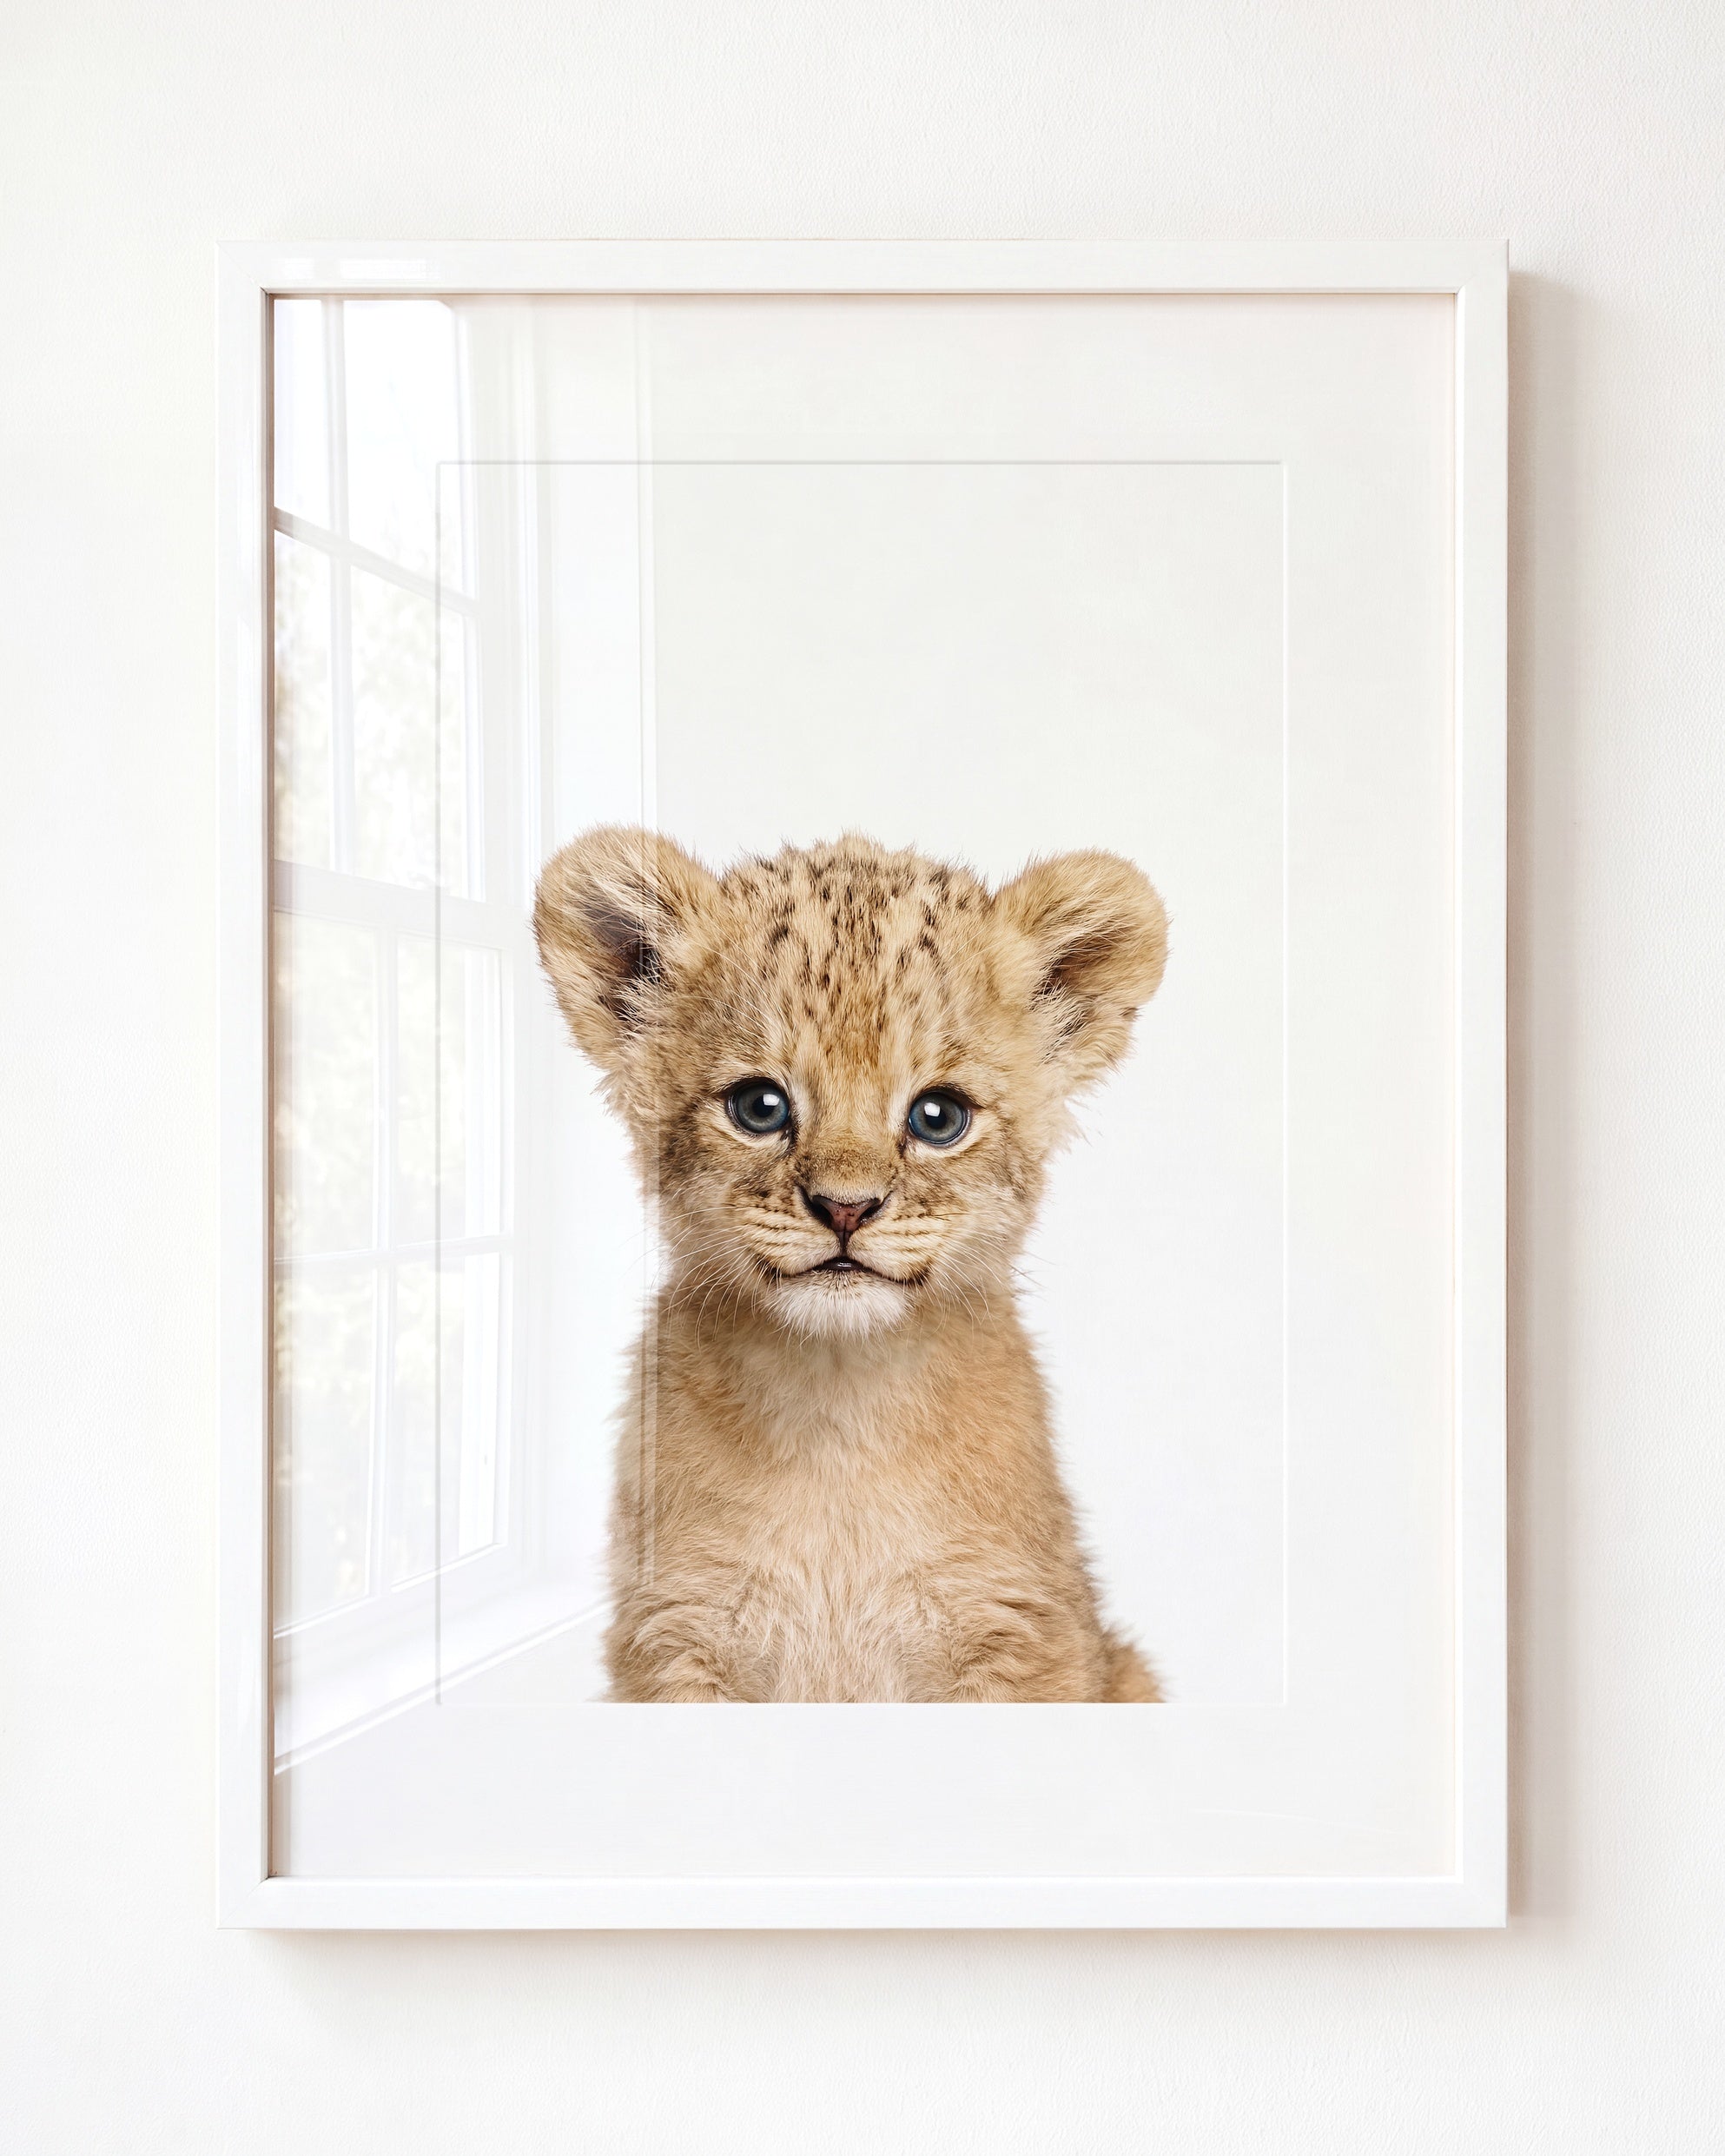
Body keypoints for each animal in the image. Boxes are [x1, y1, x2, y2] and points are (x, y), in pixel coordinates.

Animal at [533, 827, 1168, 1702]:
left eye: (938, 1117)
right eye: (760, 1107)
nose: (845, 1208)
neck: (838, 1410)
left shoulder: (1019, 1631)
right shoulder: (676, 1632)